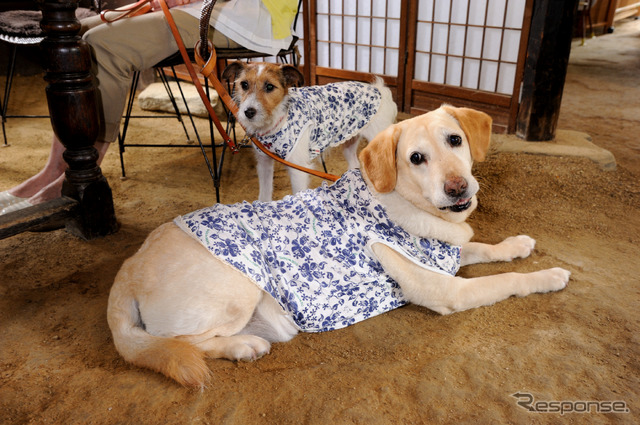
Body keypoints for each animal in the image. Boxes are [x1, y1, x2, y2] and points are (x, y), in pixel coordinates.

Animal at [109, 105, 568, 384]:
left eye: (455, 140)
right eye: (416, 158)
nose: (457, 188)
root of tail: (127, 269)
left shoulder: (448, 254)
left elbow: (486, 248)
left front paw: (517, 243)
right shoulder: (446, 289)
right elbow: (508, 279)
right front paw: (548, 275)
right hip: (237, 286)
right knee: (185, 343)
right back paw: (243, 346)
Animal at [222, 60, 398, 201]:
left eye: (270, 86)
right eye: (244, 84)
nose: (248, 112)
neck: (280, 119)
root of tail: (379, 90)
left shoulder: (298, 169)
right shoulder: (264, 162)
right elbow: (264, 195)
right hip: (349, 142)